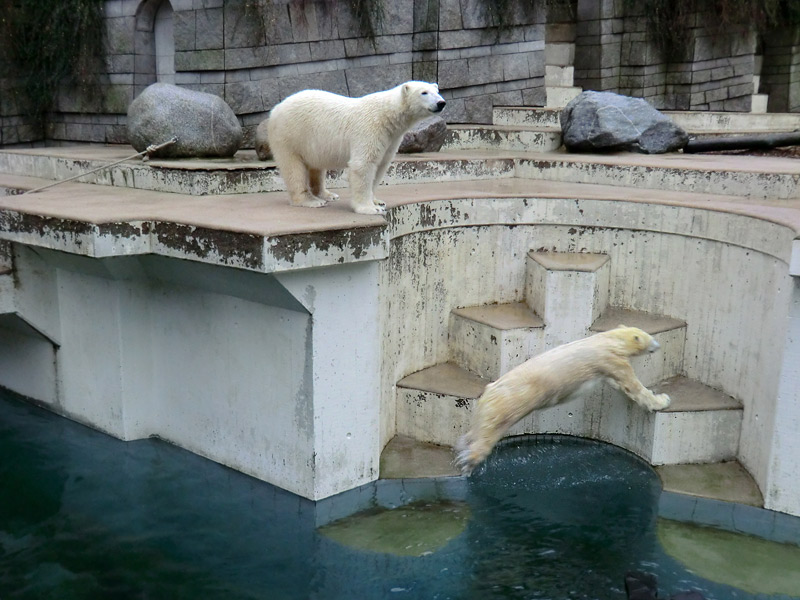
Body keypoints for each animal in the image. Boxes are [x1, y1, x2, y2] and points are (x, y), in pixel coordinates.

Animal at [256, 81, 444, 214]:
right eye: (424, 92)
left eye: (437, 91)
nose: (441, 103)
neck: (387, 115)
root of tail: (276, 108)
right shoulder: (370, 130)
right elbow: (363, 165)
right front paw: (370, 208)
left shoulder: (391, 138)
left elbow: (380, 166)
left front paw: (378, 201)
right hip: (290, 135)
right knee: (293, 168)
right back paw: (311, 201)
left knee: (316, 167)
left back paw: (327, 194)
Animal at [454, 326, 672, 476]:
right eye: (650, 337)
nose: (658, 345)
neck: (608, 340)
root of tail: (491, 390)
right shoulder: (611, 360)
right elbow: (632, 385)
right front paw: (661, 400)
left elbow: (614, 382)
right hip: (507, 404)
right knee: (490, 431)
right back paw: (470, 458)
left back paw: (464, 443)